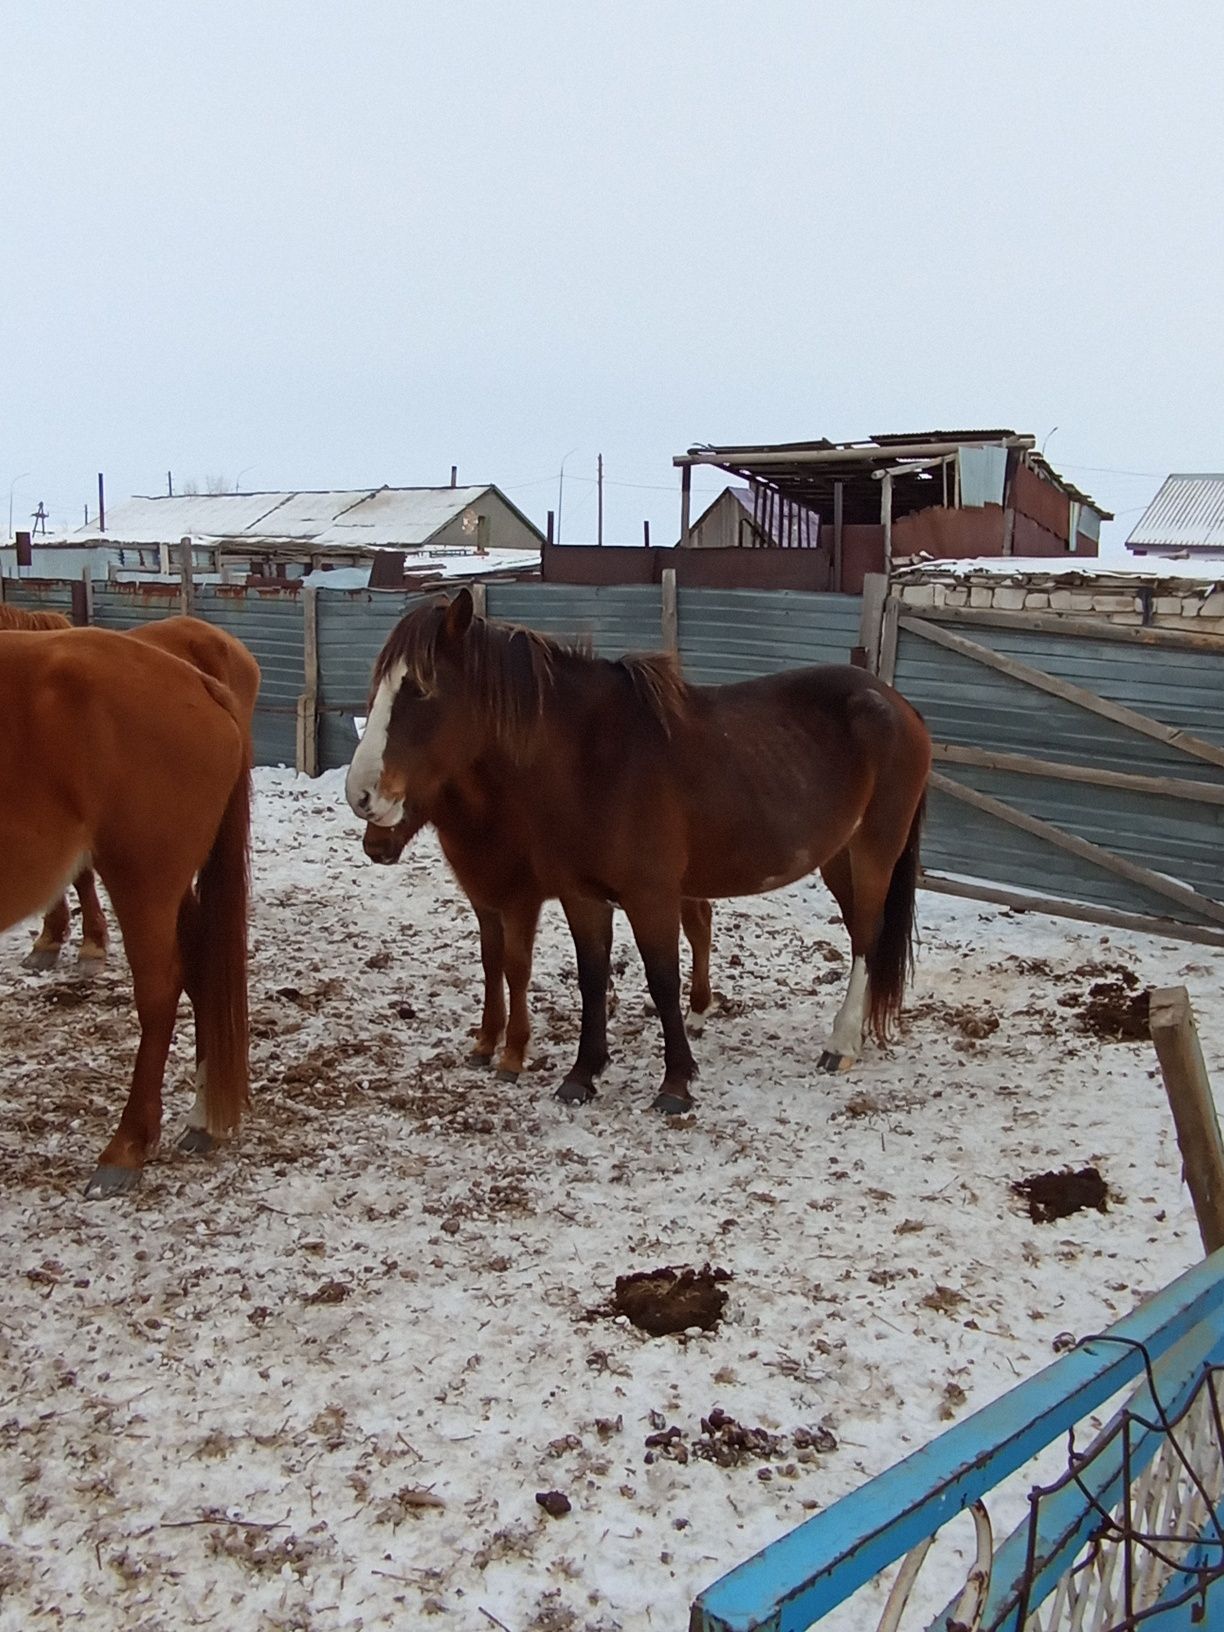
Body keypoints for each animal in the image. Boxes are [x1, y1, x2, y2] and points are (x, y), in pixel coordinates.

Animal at [359, 816, 714, 1083]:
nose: (375, 846)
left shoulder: (522, 901)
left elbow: (516, 968)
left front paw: (512, 1055)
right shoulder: (484, 901)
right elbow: (491, 963)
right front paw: (485, 1043)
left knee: (697, 929)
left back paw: (695, 1013)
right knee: (701, 925)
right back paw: (694, 1011)